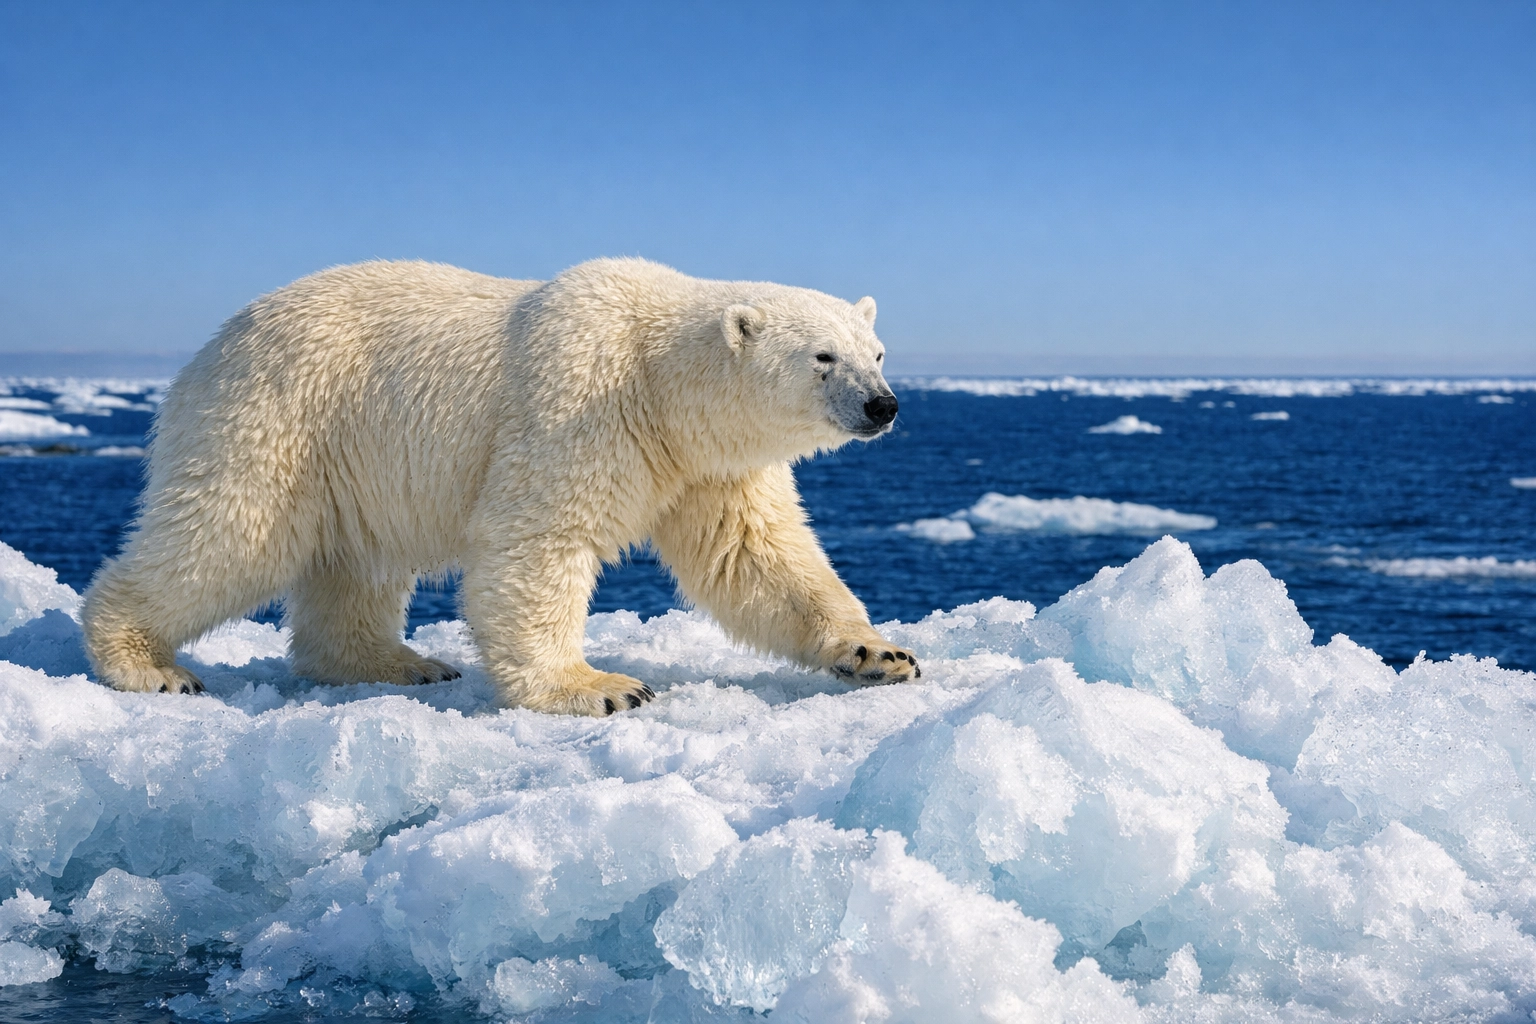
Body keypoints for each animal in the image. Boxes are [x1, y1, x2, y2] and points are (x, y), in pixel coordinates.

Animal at [81, 258, 920, 715]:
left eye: (877, 350)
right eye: (823, 356)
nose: (883, 405)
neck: (659, 380)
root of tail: (211, 346)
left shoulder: (707, 465)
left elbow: (758, 558)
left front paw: (879, 653)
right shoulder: (578, 407)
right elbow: (537, 541)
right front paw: (604, 686)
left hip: (348, 454)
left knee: (355, 565)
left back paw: (400, 661)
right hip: (276, 418)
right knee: (229, 534)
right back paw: (147, 663)